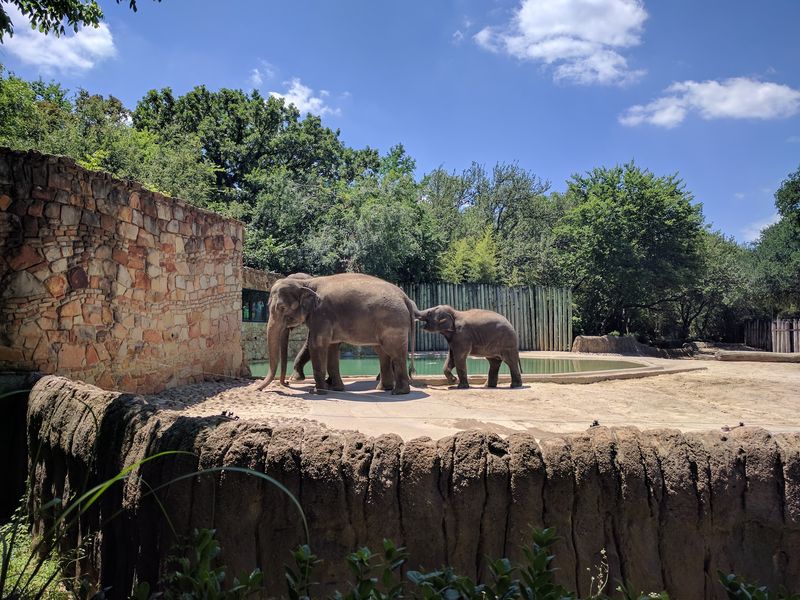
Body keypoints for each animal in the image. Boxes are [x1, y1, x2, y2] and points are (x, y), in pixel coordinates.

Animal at [256, 273, 418, 395]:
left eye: (282, 308)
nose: (286, 383)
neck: (307, 282)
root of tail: (405, 297)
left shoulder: (322, 314)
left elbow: (317, 345)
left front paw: (318, 392)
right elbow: (331, 348)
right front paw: (336, 389)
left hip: (394, 324)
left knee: (395, 353)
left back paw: (398, 392)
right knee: (383, 352)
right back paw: (384, 389)